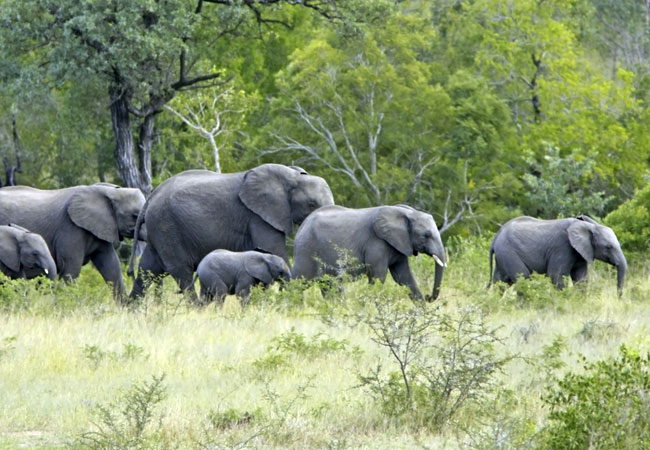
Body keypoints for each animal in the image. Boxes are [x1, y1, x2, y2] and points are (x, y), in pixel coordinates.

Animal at [0, 183, 144, 302]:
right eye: (135, 216)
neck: (109, 191)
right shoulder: (71, 228)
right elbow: (71, 269)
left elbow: (111, 266)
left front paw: (125, 308)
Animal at [131, 163, 334, 300]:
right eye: (311, 204)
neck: (293, 176)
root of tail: (152, 196)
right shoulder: (258, 216)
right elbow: (274, 250)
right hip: (167, 226)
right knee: (180, 271)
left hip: (159, 229)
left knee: (147, 268)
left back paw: (133, 310)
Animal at [292, 206, 442, 300]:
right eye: (426, 235)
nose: (429, 296)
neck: (406, 213)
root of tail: (302, 226)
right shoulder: (376, 243)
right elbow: (378, 276)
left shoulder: (399, 244)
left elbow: (404, 277)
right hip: (306, 250)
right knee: (298, 283)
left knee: (330, 285)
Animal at [488, 215, 624, 296]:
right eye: (608, 247)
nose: (619, 298)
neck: (588, 226)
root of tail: (496, 237)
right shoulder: (562, 248)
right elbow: (556, 275)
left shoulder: (580, 252)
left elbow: (581, 278)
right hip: (508, 251)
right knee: (523, 278)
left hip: (503, 255)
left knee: (501, 281)